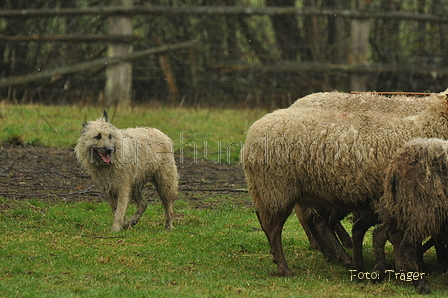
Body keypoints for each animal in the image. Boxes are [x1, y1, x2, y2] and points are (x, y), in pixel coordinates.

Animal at [243, 96, 448, 278]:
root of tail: (253, 130)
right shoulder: (393, 200)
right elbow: (396, 235)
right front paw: (405, 267)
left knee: (307, 222)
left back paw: (336, 256)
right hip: (277, 188)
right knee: (275, 229)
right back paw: (285, 267)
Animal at [374, 139, 448, 294]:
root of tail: (396, 164)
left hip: (399, 207)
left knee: (380, 233)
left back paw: (378, 272)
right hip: (423, 209)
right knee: (407, 245)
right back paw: (420, 285)